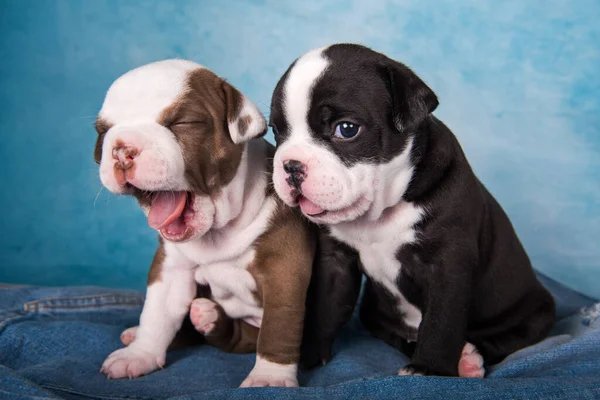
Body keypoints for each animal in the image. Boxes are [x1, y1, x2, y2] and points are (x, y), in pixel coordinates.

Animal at [92, 60, 350, 388]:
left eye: (183, 123)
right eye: (103, 131)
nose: (122, 149)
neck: (220, 228)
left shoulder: (283, 271)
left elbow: (279, 324)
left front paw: (269, 379)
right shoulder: (171, 267)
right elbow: (156, 312)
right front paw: (140, 355)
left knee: (246, 338)